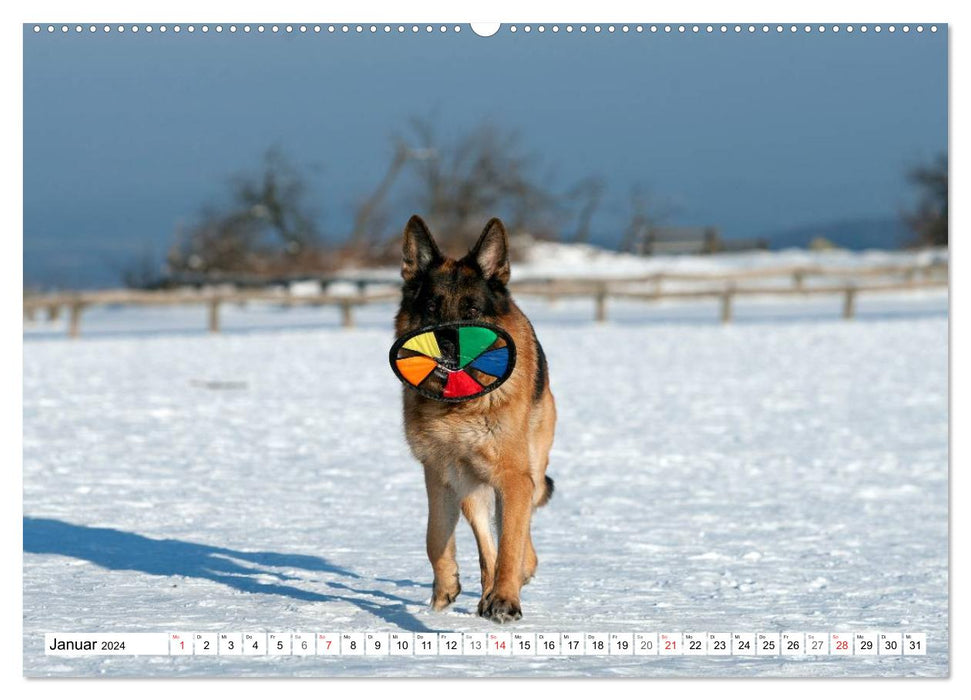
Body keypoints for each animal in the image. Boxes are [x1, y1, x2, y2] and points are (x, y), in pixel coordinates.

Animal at [394, 215, 560, 624]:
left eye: (471, 313)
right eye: (432, 308)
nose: (447, 347)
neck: (458, 406)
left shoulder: (514, 479)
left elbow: (512, 544)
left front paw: (505, 599)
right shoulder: (440, 474)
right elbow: (435, 537)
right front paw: (445, 591)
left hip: (528, 470)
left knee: (522, 540)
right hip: (470, 486)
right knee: (487, 545)